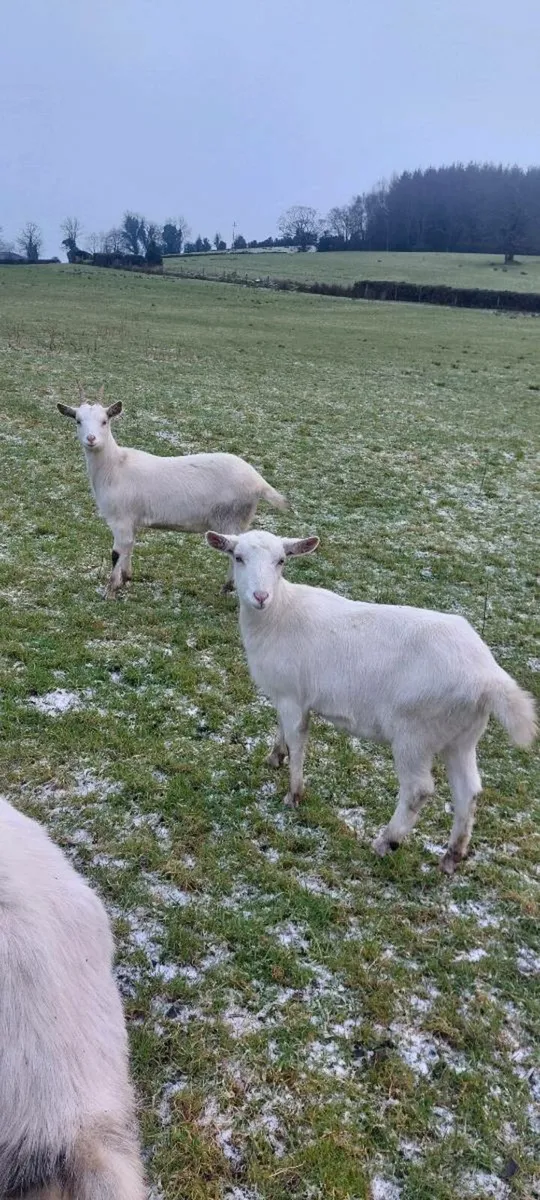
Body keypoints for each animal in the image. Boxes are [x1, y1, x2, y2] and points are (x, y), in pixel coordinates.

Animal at [58, 386, 287, 597]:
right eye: (78, 420)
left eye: (105, 420)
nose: (91, 438)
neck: (115, 466)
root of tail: (259, 482)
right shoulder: (131, 519)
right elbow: (129, 547)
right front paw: (126, 578)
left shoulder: (119, 518)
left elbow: (117, 552)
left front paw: (110, 590)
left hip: (232, 517)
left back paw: (227, 587)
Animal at [206, 529, 536, 873]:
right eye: (237, 557)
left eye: (281, 561)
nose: (260, 596)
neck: (278, 614)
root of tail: (488, 678)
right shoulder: (284, 695)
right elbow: (281, 729)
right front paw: (274, 757)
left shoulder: (293, 697)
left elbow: (298, 742)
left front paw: (293, 795)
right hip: (461, 736)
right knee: (468, 792)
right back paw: (451, 856)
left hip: (415, 732)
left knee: (418, 790)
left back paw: (386, 842)